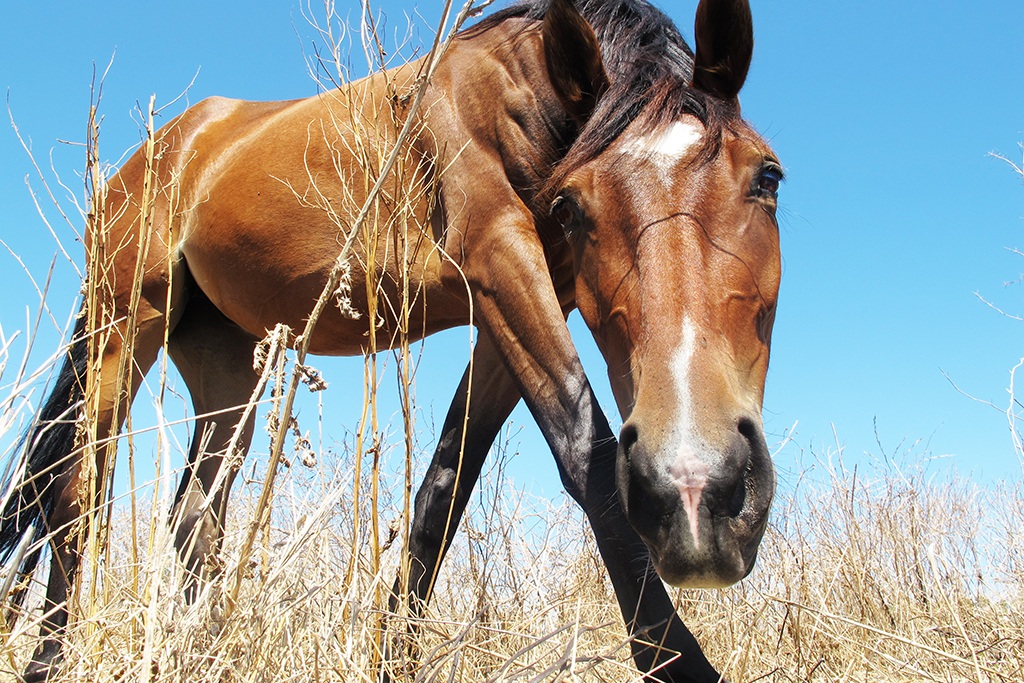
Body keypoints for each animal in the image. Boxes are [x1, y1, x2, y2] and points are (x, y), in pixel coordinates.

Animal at [0, 0, 782, 680]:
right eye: (573, 205)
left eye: (768, 177)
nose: (698, 490)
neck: (513, 88)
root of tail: (156, 150)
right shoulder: (500, 261)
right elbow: (585, 458)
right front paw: (676, 658)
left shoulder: (510, 315)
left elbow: (443, 492)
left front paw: (394, 656)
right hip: (123, 326)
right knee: (75, 491)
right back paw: (49, 662)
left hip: (226, 366)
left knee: (195, 517)